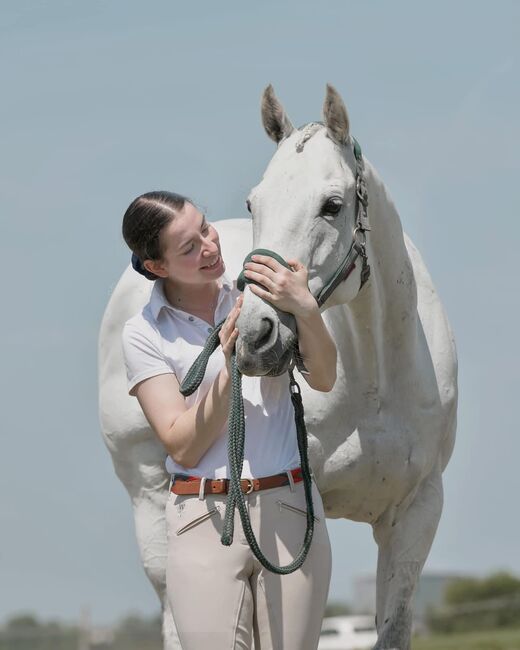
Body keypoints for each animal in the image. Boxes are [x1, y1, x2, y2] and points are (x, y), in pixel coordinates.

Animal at [97, 83, 456, 644]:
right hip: (150, 503)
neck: (377, 379)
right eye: (254, 201)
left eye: (332, 205)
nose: (254, 336)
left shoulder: (417, 512)